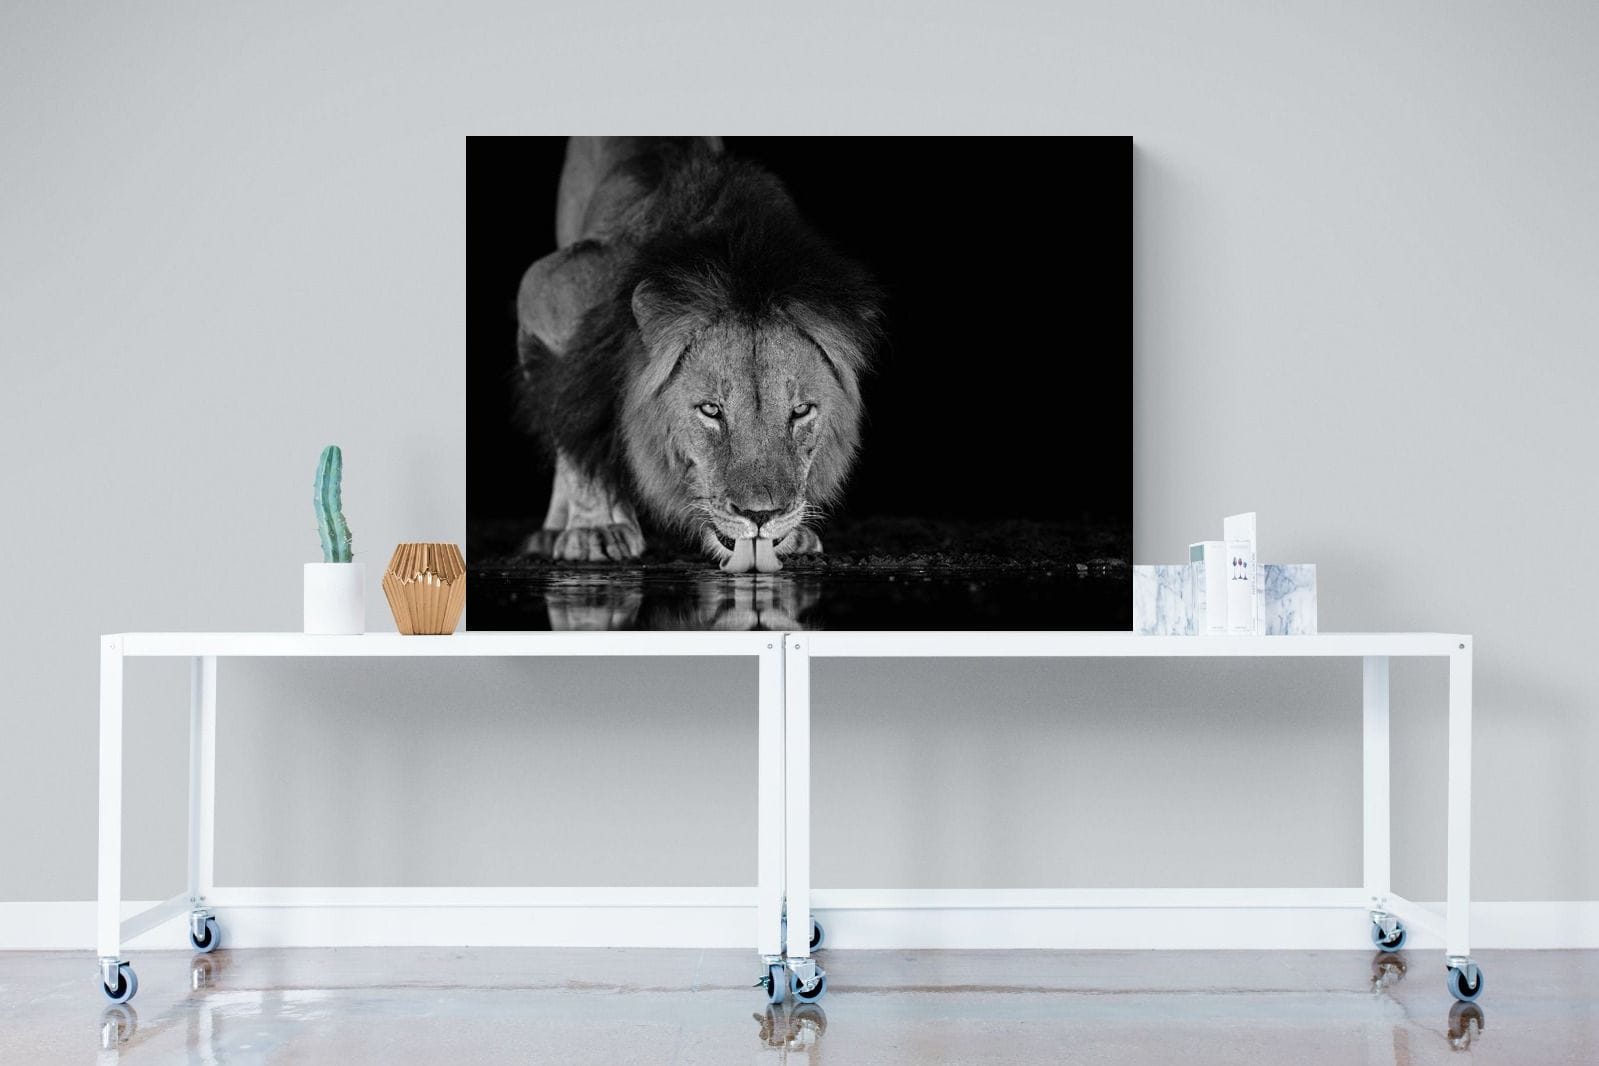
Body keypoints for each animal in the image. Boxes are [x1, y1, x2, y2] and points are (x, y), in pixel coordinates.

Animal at [513, 137, 882, 573]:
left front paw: (795, 535)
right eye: (711, 410)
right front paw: (594, 529)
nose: (761, 515)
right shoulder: (547, 291)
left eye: (801, 411)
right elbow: (576, 418)